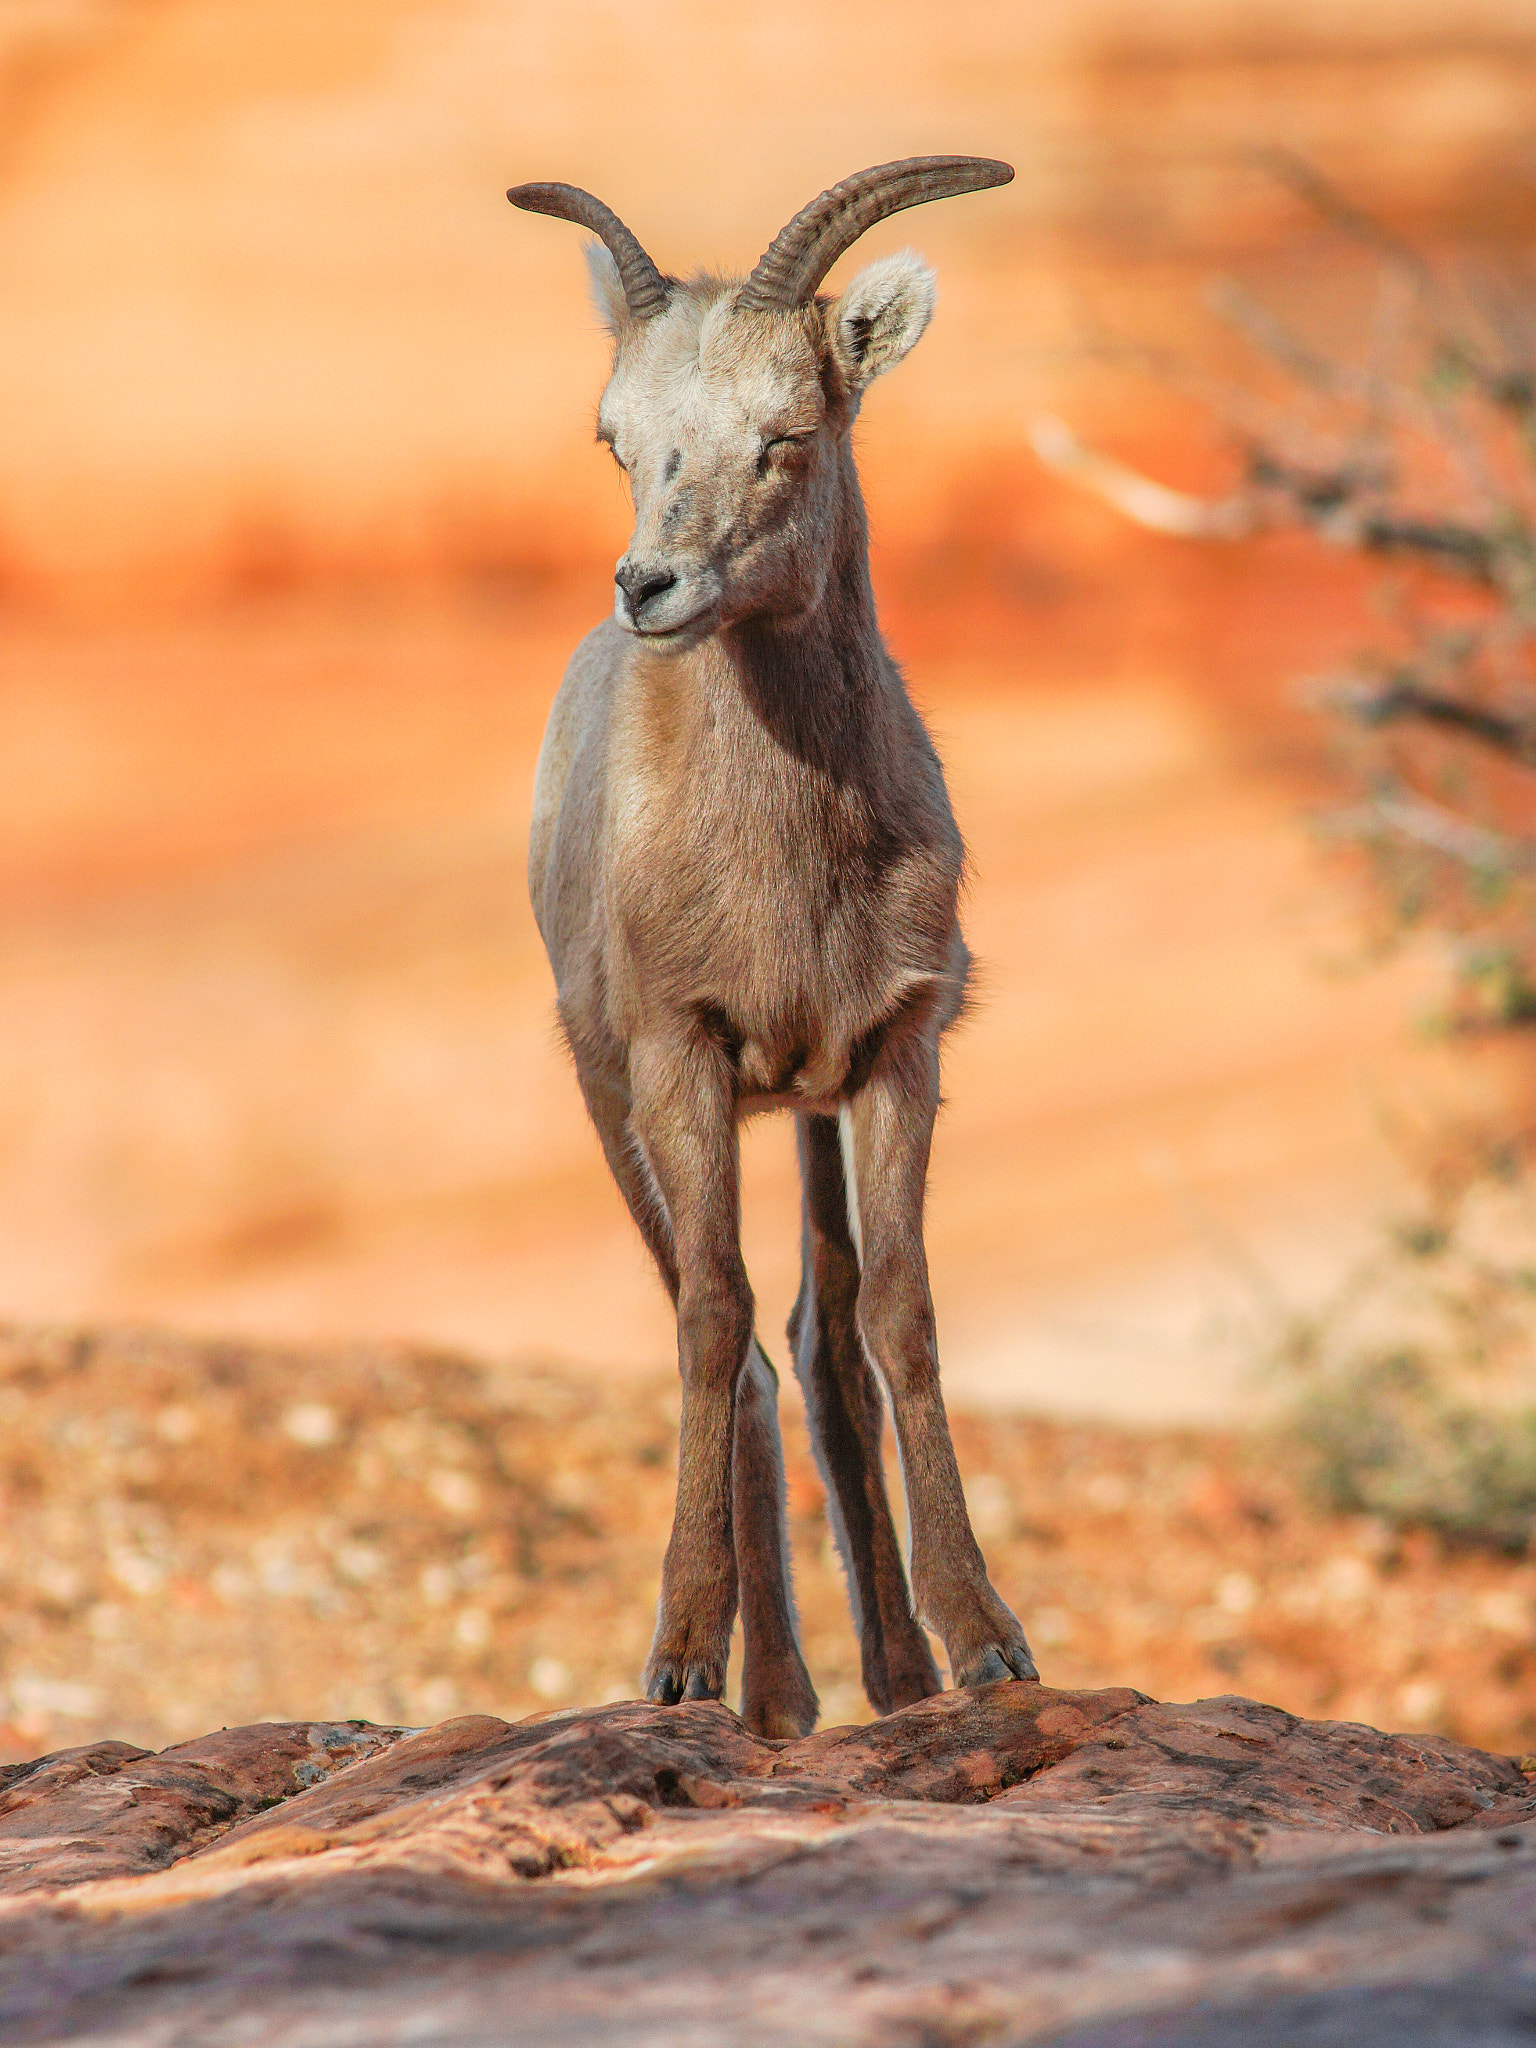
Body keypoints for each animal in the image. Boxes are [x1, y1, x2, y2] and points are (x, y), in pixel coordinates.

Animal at [514, 155, 1036, 1744]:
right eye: (617, 440)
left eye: (786, 434)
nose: (650, 587)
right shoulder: (680, 1063)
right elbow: (709, 1325)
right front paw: (683, 1655)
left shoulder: (893, 1056)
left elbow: (898, 1320)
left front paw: (985, 1646)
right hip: (619, 1105)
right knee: (740, 1338)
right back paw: (775, 1697)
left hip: (799, 1113)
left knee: (819, 1337)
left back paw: (886, 1675)